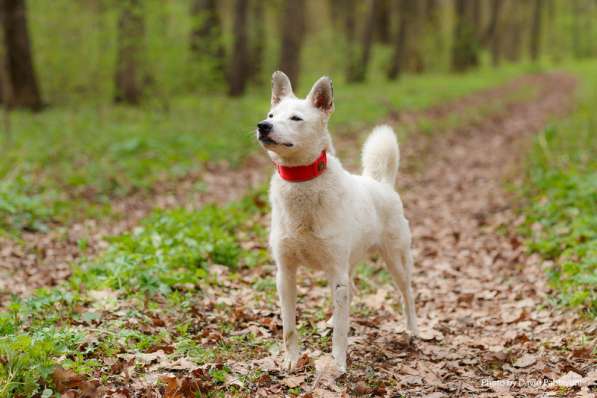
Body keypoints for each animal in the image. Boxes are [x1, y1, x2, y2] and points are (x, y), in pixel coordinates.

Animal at [258, 70, 420, 372]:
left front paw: (338, 365)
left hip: (396, 261)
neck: (302, 180)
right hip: (347, 263)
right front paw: (291, 361)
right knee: (351, 293)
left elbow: (341, 332)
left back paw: (414, 331)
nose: (263, 126)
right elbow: (289, 327)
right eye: (271, 115)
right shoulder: (285, 273)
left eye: (296, 118)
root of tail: (382, 184)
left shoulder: (336, 270)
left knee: (408, 295)